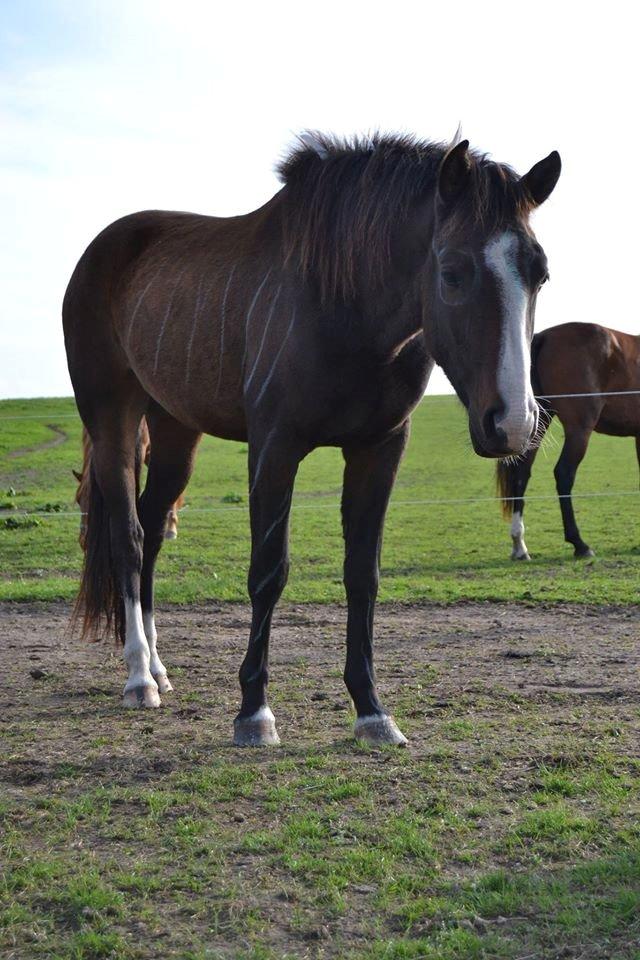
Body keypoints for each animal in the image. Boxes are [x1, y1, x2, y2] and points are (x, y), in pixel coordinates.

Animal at [61, 131, 560, 748]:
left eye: (539, 273)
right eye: (451, 271)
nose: (512, 422)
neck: (342, 306)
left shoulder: (380, 448)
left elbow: (362, 574)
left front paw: (372, 711)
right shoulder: (274, 447)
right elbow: (268, 571)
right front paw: (254, 712)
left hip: (177, 429)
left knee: (153, 529)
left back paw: (156, 666)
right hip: (113, 417)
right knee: (129, 536)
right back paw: (137, 677)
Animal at [500, 322, 640, 564]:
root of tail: (545, 337)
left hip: (539, 422)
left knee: (522, 473)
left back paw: (519, 545)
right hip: (579, 431)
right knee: (564, 474)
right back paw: (579, 544)